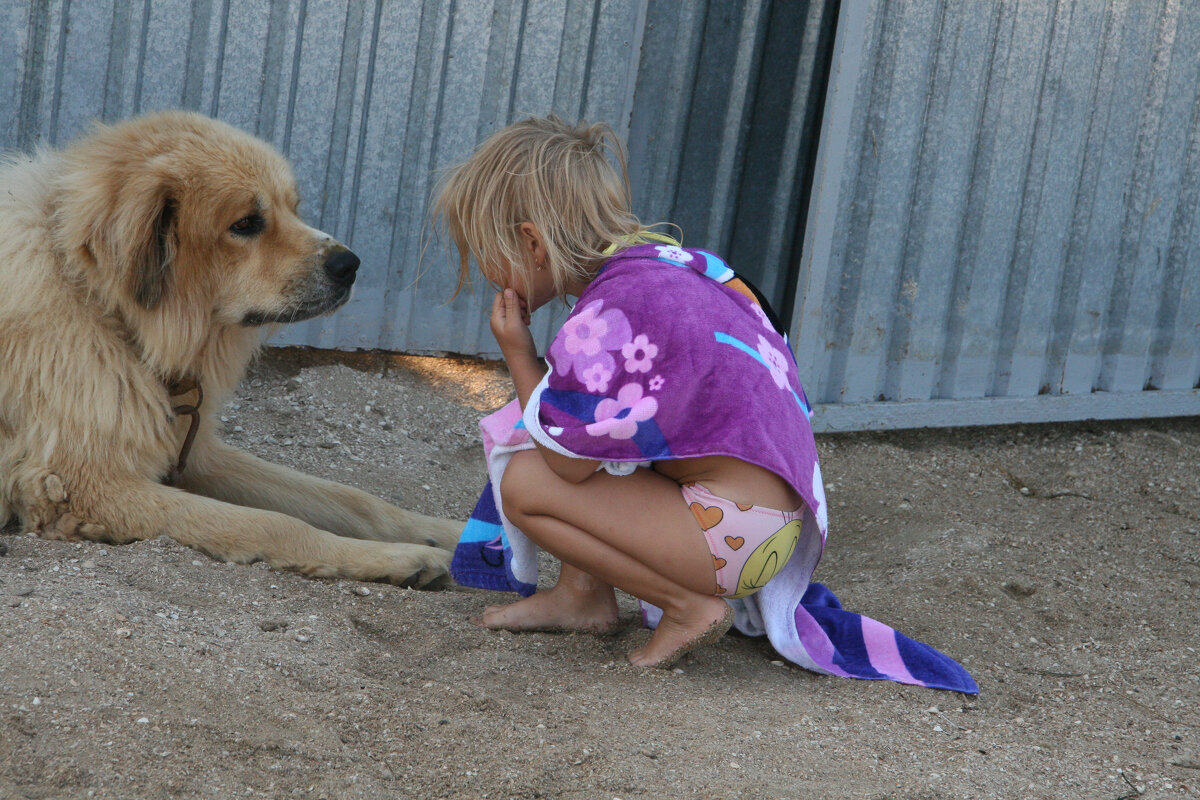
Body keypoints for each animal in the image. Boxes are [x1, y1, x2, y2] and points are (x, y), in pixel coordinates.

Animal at [0, 110, 456, 587]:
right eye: (246, 224)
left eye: (293, 207)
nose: (350, 265)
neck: (104, 309)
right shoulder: (88, 486)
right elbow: (276, 525)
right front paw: (398, 557)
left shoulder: (196, 452)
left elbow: (354, 499)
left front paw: (447, 532)